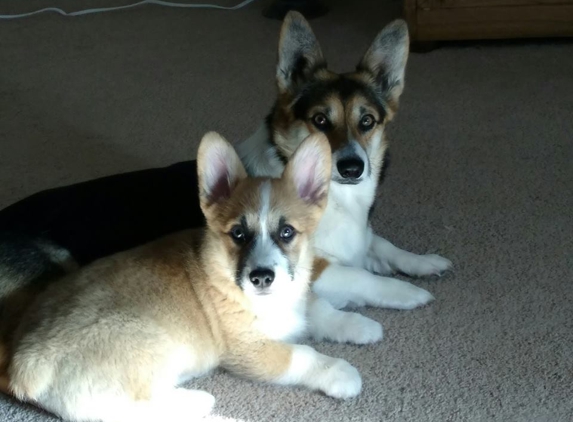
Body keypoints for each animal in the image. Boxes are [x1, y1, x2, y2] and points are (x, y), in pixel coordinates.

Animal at [0, 133, 370, 422]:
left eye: (287, 232)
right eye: (238, 234)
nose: (262, 278)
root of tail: (23, 363)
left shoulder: (300, 301)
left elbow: (322, 310)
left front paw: (363, 326)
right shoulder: (250, 352)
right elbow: (303, 354)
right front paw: (342, 372)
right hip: (151, 343)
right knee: (119, 409)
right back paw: (197, 400)